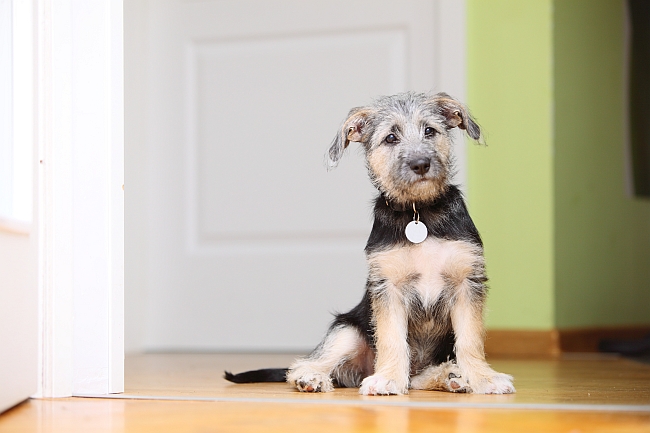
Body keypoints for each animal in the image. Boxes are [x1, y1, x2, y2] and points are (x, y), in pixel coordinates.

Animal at [225, 92, 512, 394]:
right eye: (391, 138)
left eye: (430, 131)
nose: (421, 164)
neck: (418, 212)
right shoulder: (388, 288)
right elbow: (392, 339)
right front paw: (387, 377)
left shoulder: (467, 283)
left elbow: (470, 339)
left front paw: (483, 377)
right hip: (346, 330)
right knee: (305, 365)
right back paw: (313, 378)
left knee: (416, 379)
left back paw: (450, 376)